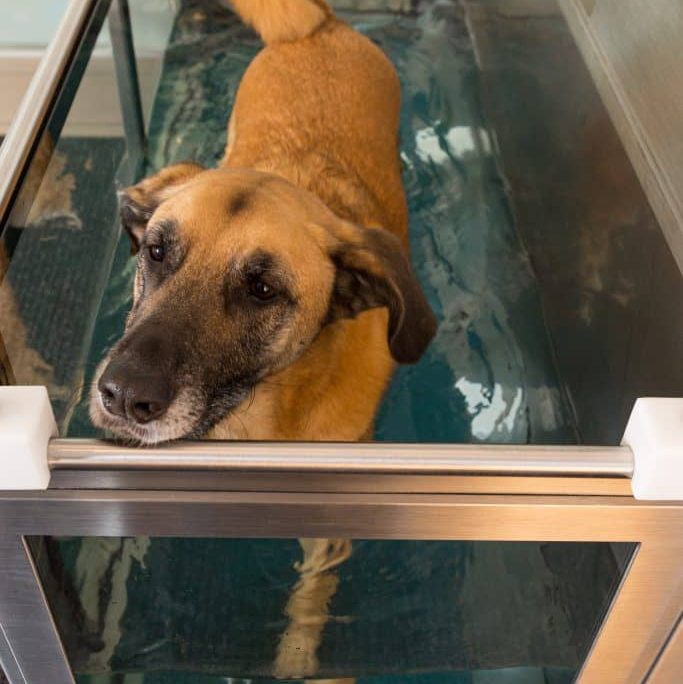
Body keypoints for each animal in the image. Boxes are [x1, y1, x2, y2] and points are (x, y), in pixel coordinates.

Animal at [88, 1, 438, 680]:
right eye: (157, 252)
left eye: (263, 290)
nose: (121, 396)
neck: (264, 411)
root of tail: (320, 28)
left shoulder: (331, 522)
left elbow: (307, 605)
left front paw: (296, 659)